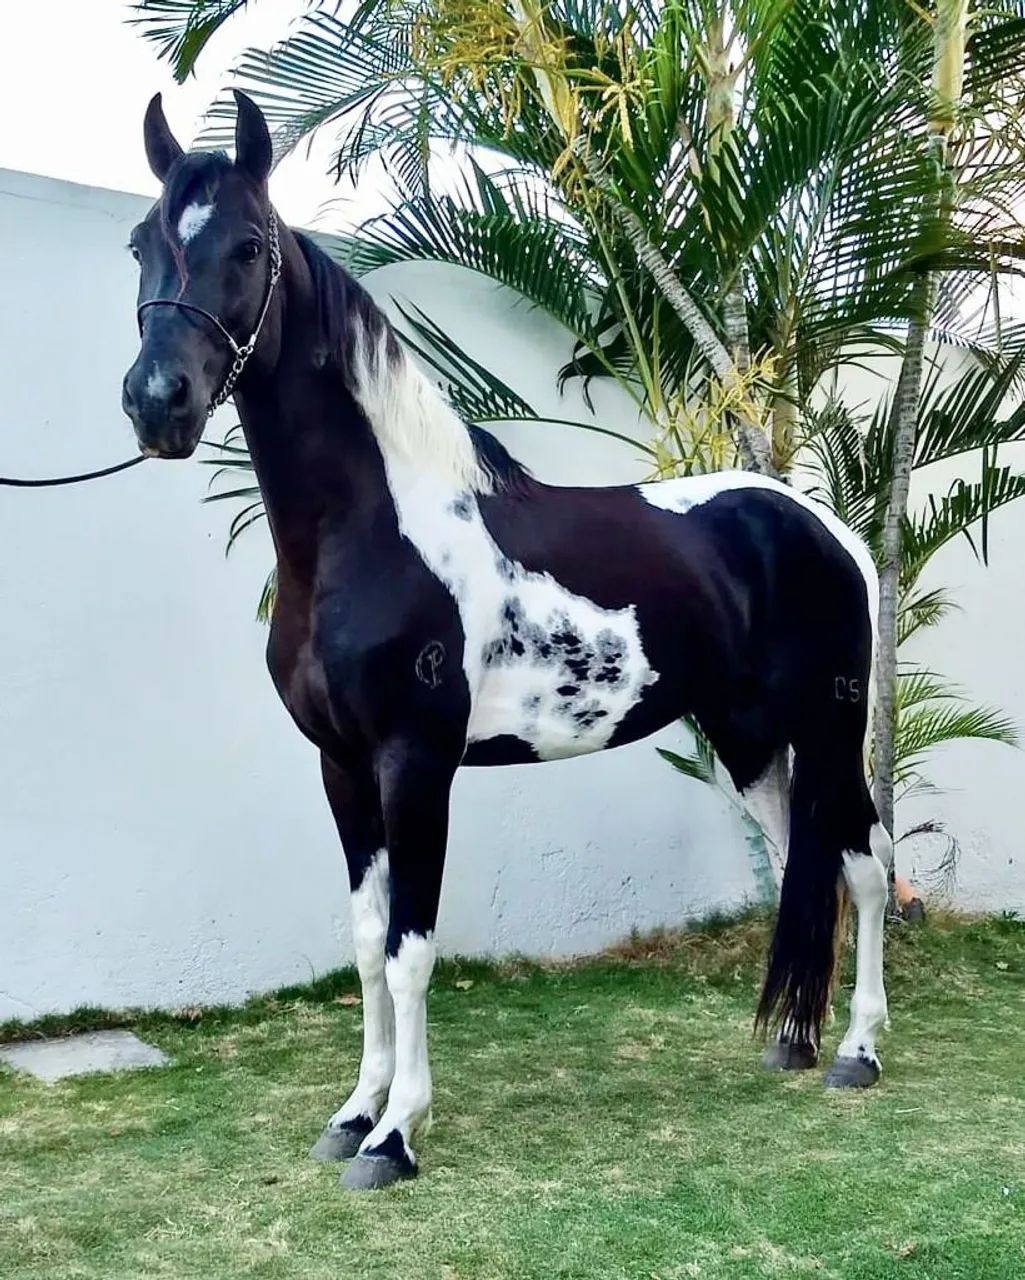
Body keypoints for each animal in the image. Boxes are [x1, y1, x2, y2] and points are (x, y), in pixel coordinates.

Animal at [121, 91, 893, 1191]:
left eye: (248, 245)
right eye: (141, 243)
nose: (158, 401)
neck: (375, 532)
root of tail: (825, 524)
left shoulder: (414, 764)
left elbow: (410, 947)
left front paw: (395, 1136)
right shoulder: (341, 767)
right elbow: (367, 942)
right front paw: (353, 1113)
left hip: (826, 726)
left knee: (863, 865)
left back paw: (857, 1052)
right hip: (746, 735)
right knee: (806, 858)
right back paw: (793, 1039)